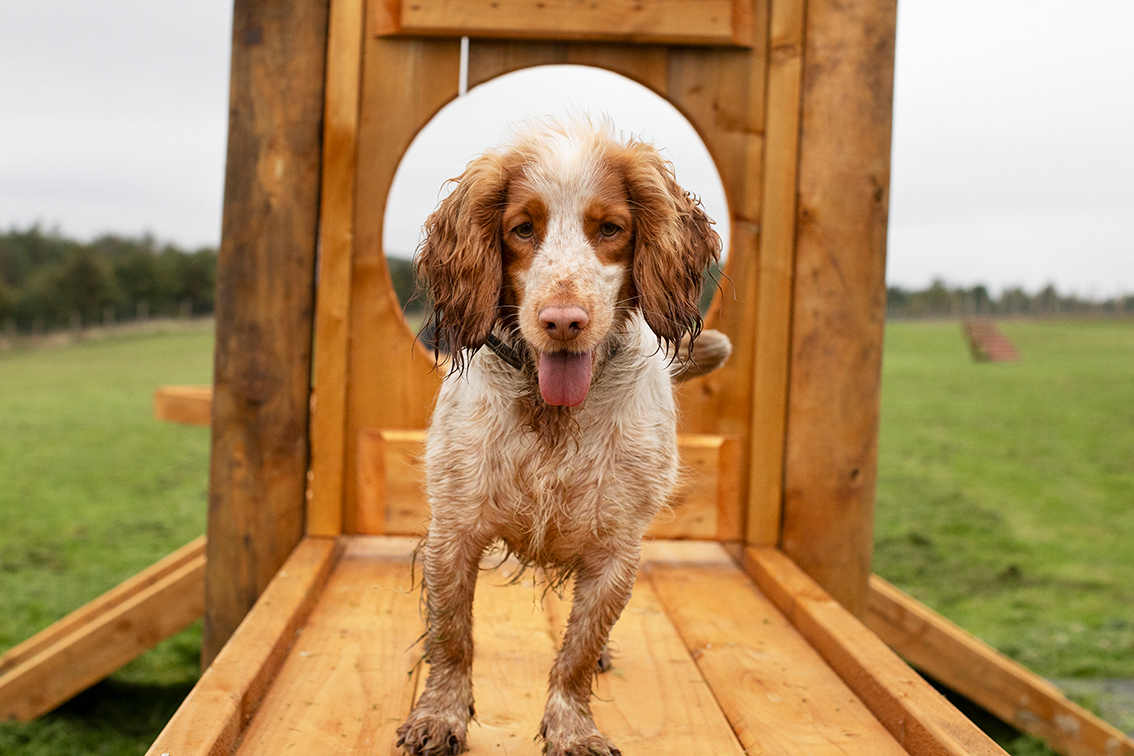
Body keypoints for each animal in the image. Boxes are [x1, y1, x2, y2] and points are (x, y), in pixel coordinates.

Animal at [399, 118, 730, 756]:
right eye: (523, 228)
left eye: (610, 229)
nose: (563, 321)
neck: (554, 414)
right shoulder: (455, 530)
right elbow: (452, 639)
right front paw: (441, 716)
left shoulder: (616, 551)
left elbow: (576, 652)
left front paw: (571, 729)